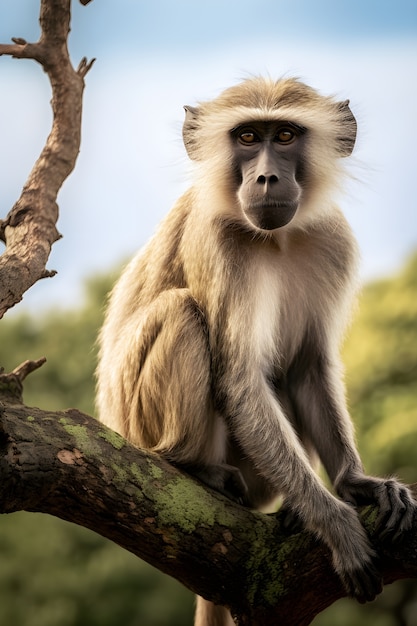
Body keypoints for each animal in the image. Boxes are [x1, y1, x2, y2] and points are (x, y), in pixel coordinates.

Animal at [95, 75, 416, 620]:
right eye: (247, 137)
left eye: (284, 136)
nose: (266, 177)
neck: (278, 239)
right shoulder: (218, 238)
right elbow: (240, 380)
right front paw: (335, 523)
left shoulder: (332, 238)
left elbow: (308, 368)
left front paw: (356, 485)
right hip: (140, 424)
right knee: (183, 311)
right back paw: (190, 465)